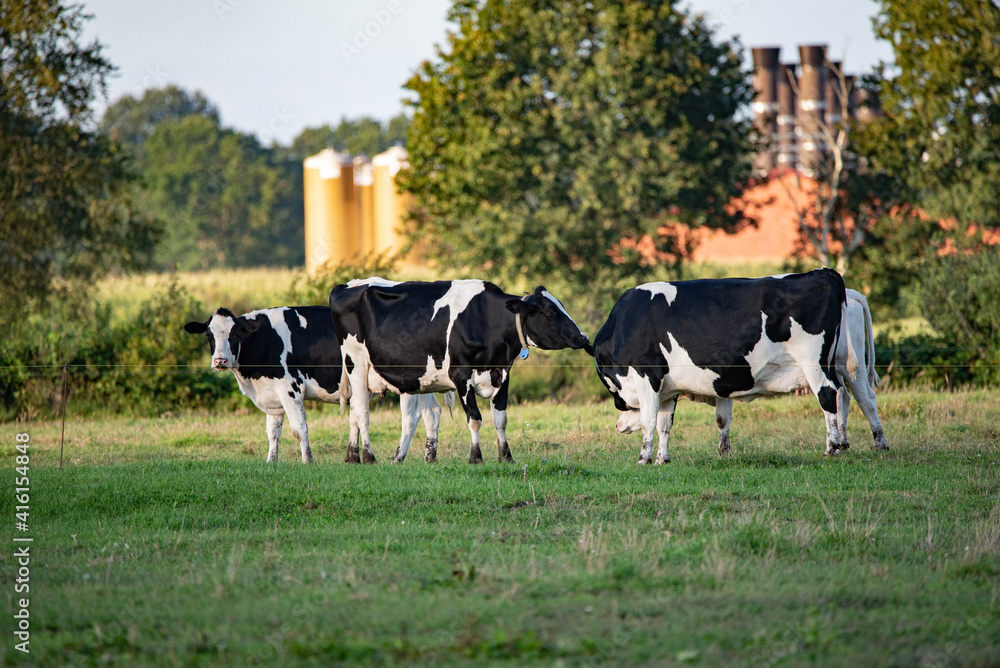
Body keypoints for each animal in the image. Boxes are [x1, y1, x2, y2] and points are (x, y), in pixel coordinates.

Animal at [183, 304, 446, 464]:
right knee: (432, 412)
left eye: (235, 333)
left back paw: (398, 458)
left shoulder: (290, 389)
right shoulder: (272, 396)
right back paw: (429, 458)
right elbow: (273, 432)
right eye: (209, 335)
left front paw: (307, 460)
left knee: (411, 418)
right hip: (424, 384)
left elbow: (299, 429)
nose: (220, 360)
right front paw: (271, 461)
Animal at [592, 268, 860, 462]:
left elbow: (648, 420)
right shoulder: (668, 388)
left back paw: (831, 448)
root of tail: (822, 272)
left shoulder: (647, 377)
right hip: (828, 364)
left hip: (812, 361)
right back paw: (841, 444)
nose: (617, 425)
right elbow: (664, 425)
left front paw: (644, 458)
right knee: (841, 394)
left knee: (827, 395)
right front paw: (661, 459)